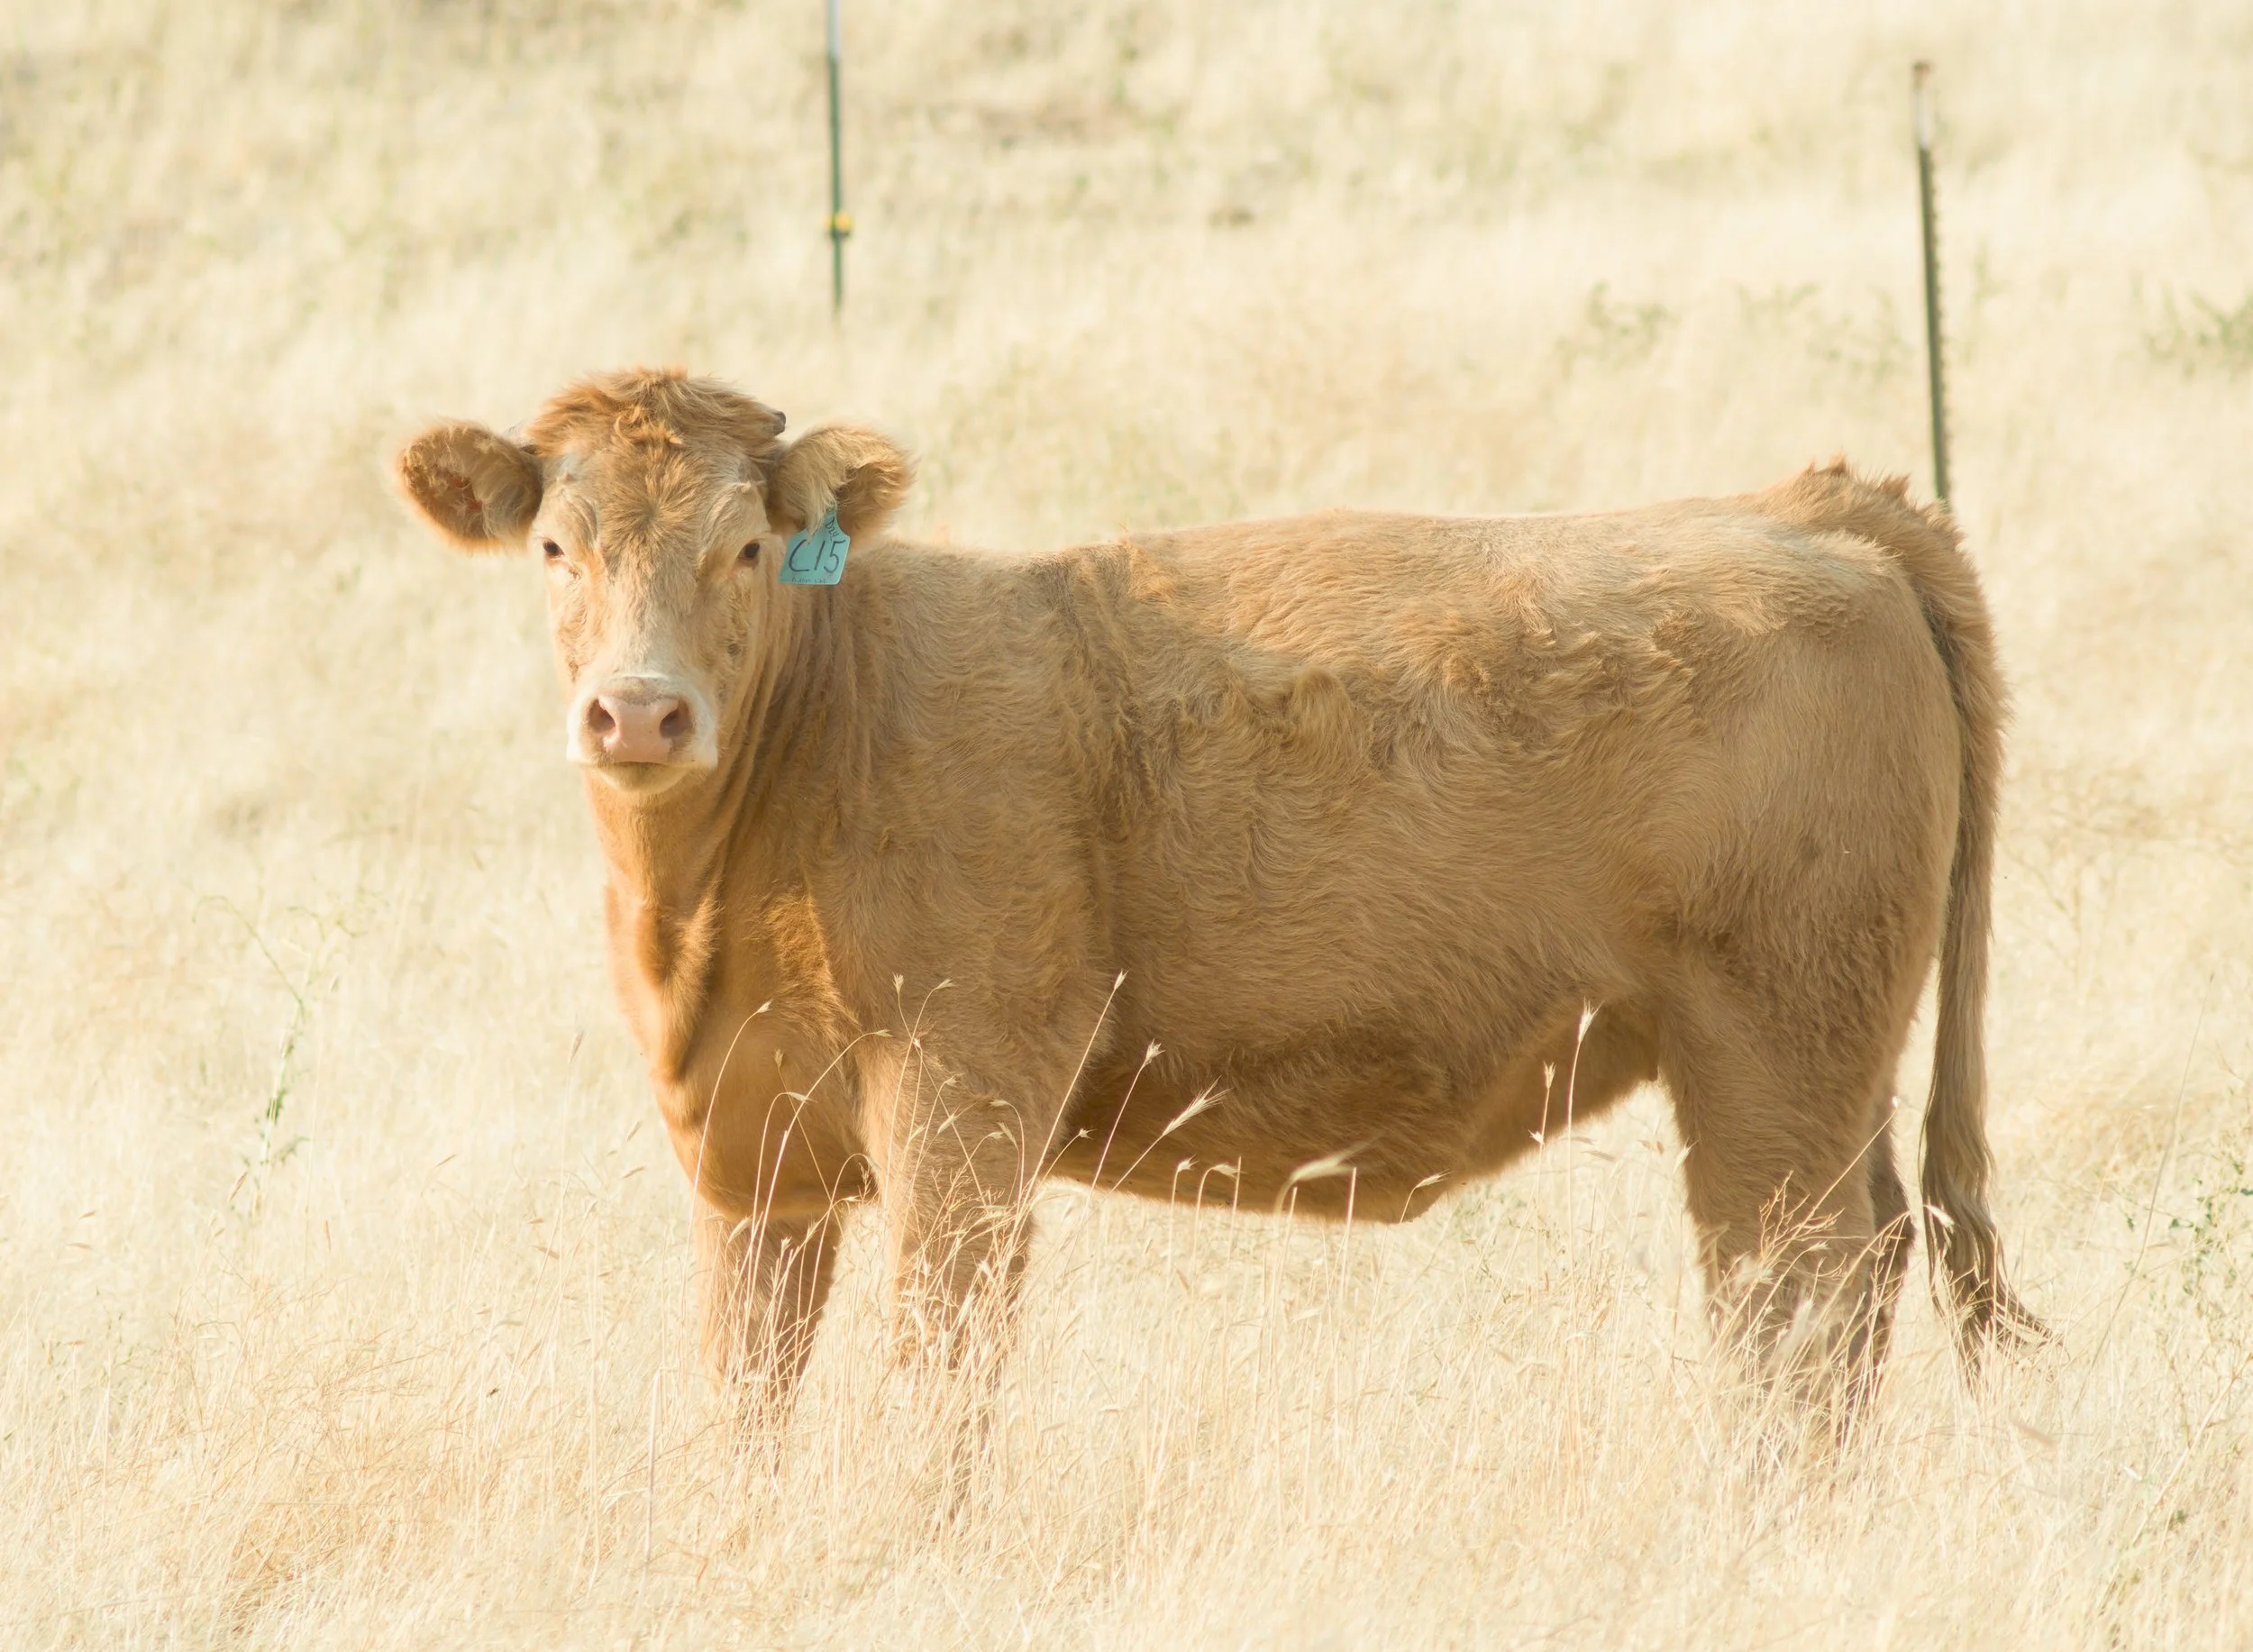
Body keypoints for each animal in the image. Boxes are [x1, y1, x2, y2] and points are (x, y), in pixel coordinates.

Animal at [396, 367, 2039, 1425]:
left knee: (1796, 1307)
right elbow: (746, 1402)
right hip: (1822, 1072)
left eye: (744, 549)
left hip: (1775, 1065)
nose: (639, 713)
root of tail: (1808, 508)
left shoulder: (963, 1109)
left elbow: (935, 1378)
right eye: (556, 546)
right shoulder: (755, 1161)